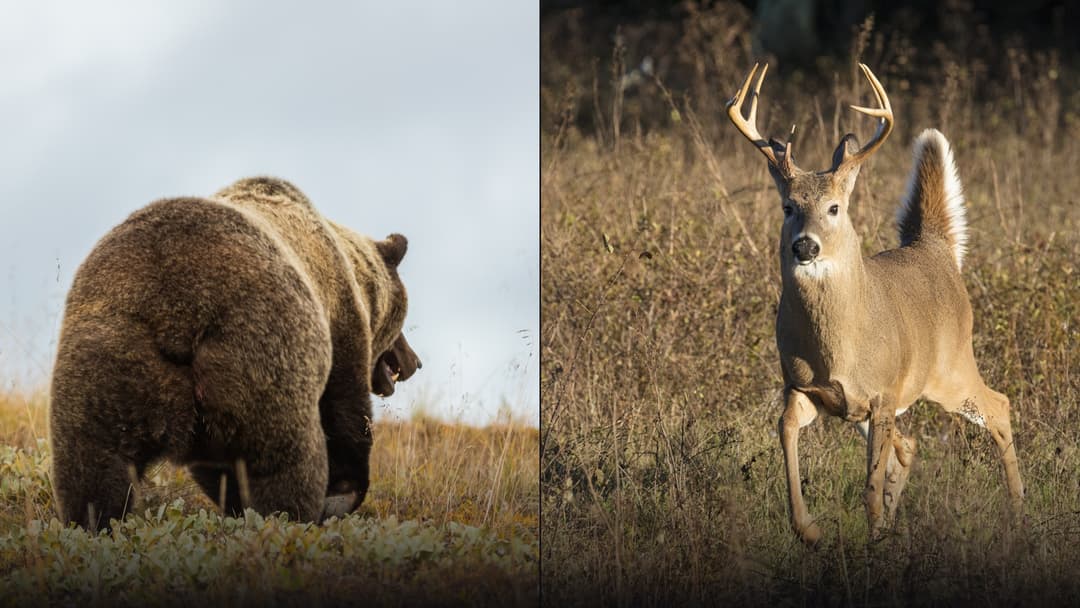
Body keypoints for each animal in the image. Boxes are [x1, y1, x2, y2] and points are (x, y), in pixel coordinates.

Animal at [48, 176, 420, 531]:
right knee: (283, 459)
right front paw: (342, 493)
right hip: (261, 352)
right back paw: (289, 517)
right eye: (399, 324)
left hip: (108, 358)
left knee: (94, 466)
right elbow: (347, 411)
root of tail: (174, 310)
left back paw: (93, 524)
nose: (413, 361)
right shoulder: (339, 323)